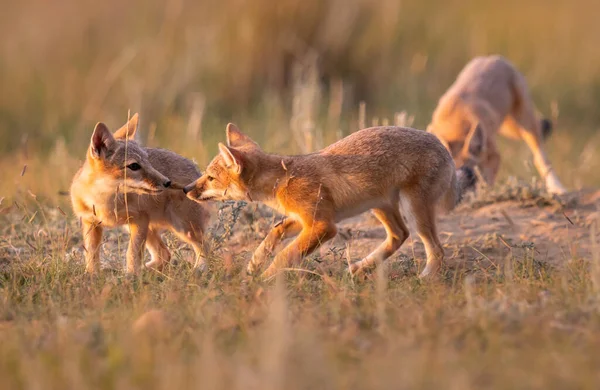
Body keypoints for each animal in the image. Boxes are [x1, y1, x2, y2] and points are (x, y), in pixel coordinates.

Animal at [70, 113, 210, 274]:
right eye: (134, 166)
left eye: (148, 162)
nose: (167, 182)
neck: (105, 202)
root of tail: (196, 169)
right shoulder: (91, 223)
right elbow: (91, 254)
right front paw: (92, 274)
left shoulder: (139, 220)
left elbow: (132, 253)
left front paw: (131, 275)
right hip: (149, 229)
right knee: (164, 254)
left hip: (183, 228)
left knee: (206, 249)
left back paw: (200, 270)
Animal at [183, 123, 474, 278]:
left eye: (210, 178)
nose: (186, 189)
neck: (281, 181)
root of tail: (443, 147)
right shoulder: (304, 220)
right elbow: (273, 233)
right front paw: (254, 264)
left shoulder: (323, 226)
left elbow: (286, 255)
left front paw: (264, 278)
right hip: (380, 206)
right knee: (398, 236)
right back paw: (359, 267)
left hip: (413, 211)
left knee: (436, 249)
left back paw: (425, 278)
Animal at [426, 54, 568, 195]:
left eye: (471, 177)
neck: (455, 124)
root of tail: (493, 57)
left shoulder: (495, 155)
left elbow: (487, 181)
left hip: (525, 125)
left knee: (540, 159)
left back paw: (557, 187)